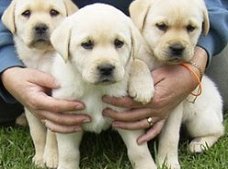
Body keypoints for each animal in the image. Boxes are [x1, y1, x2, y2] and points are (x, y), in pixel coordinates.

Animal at [1, 0, 77, 168]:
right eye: (26, 13)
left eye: (54, 12)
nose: (40, 27)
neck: (42, 57)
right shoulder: (31, 102)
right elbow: (37, 133)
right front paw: (40, 157)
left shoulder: (56, 103)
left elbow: (52, 132)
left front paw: (52, 157)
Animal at [51, 3, 155, 169]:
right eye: (87, 44)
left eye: (119, 43)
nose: (106, 68)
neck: (94, 88)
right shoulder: (67, 119)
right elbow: (68, 153)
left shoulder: (125, 117)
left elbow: (139, 151)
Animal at [130, 0, 224, 168]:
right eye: (161, 26)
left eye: (191, 28)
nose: (177, 48)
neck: (156, 59)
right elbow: (137, 62)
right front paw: (142, 87)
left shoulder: (172, 106)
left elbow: (170, 136)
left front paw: (168, 162)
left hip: (199, 120)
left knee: (219, 130)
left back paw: (199, 144)